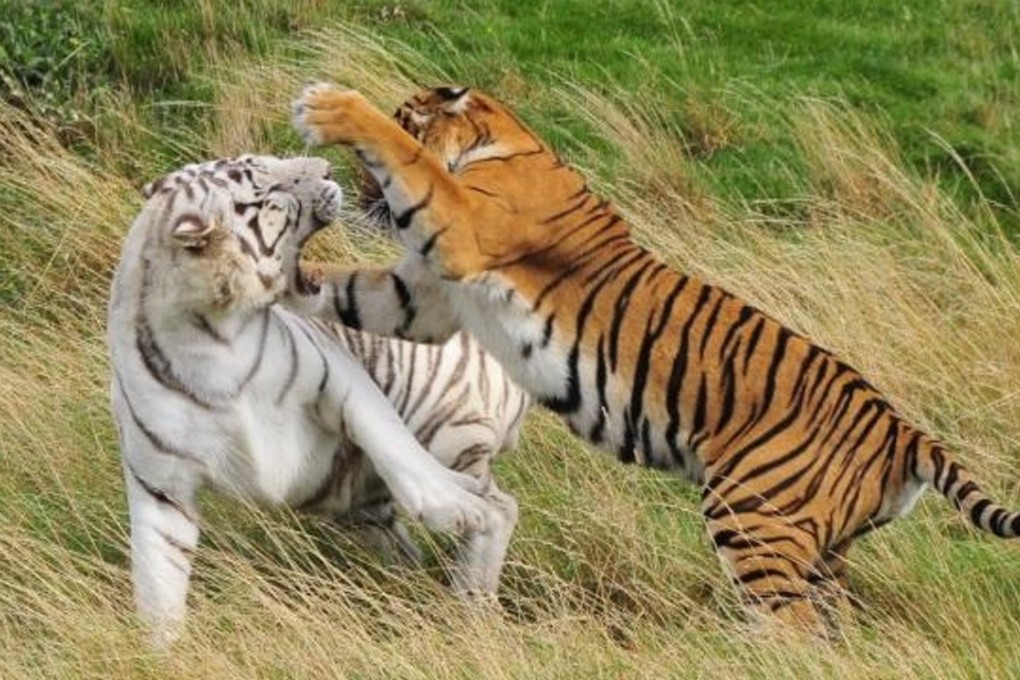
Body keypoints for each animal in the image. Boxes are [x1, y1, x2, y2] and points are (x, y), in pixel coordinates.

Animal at [107, 154, 527, 646]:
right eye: (269, 189)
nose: (327, 167)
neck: (211, 335)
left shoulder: (339, 373)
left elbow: (393, 444)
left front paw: (454, 507)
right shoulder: (162, 486)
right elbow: (158, 584)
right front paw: (161, 651)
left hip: (446, 429)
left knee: (499, 508)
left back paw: (473, 603)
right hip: (358, 503)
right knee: (412, 549)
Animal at [288, 82, 1020, 633]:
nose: (364, 199)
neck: (499, 143)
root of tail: (905, 431)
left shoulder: (459, 229)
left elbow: (408, 156)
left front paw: (331, 107)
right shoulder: (427, 299)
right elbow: (342, 289)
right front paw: (278, 280)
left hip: (754, 518)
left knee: (795, 629)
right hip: (826, 551)